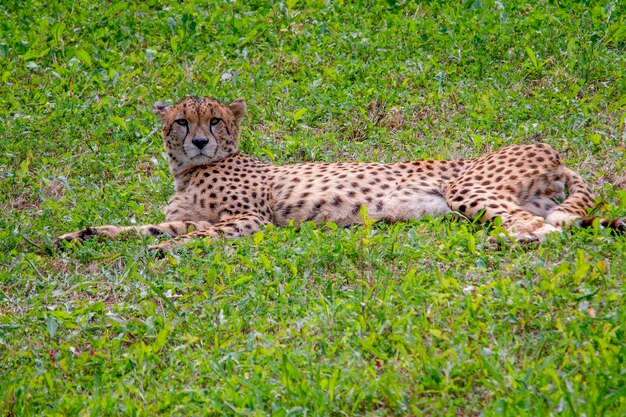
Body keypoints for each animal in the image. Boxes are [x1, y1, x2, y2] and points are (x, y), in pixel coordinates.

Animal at [56, 96, 620, 250]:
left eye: (214, 120)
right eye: (181, 122)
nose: (198, 141)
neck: (190, 171)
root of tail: (549, 148)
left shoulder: (250, 221)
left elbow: (197, 234)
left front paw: (168, 250)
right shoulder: (185, 214)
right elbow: (148, 226)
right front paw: (79, 234)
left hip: (468, 187)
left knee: (534, 229)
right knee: (546, 221)